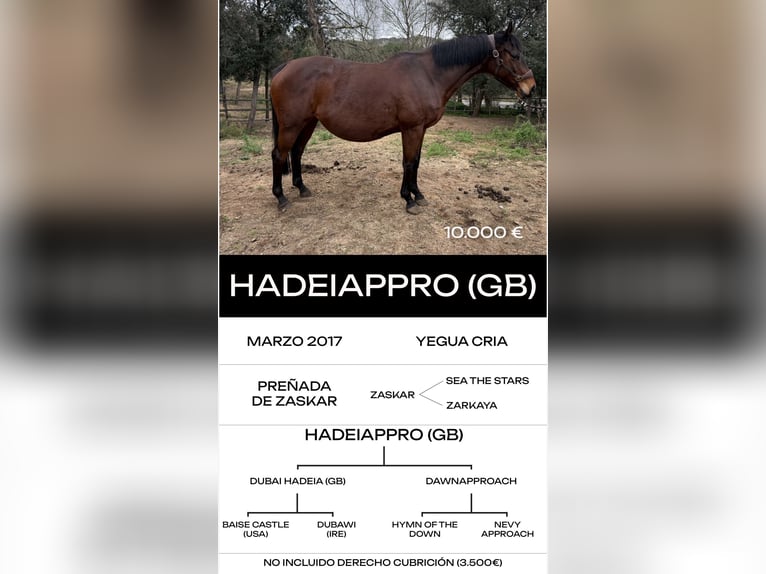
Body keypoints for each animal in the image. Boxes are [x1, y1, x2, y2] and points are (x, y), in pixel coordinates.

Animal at [269, 23, 535, 215]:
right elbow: (408, 163)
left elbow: (416, 162)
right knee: (279, 155)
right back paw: (281, 198)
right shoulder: (411, 129)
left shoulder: (421, 129)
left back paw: (302, 188)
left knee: (296, 152)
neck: (428, 75)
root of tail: (285, 66)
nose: (530, 87)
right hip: (291, 125)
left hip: (308, 123)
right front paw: (409, 201)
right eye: (514, 54)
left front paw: (419, 195)